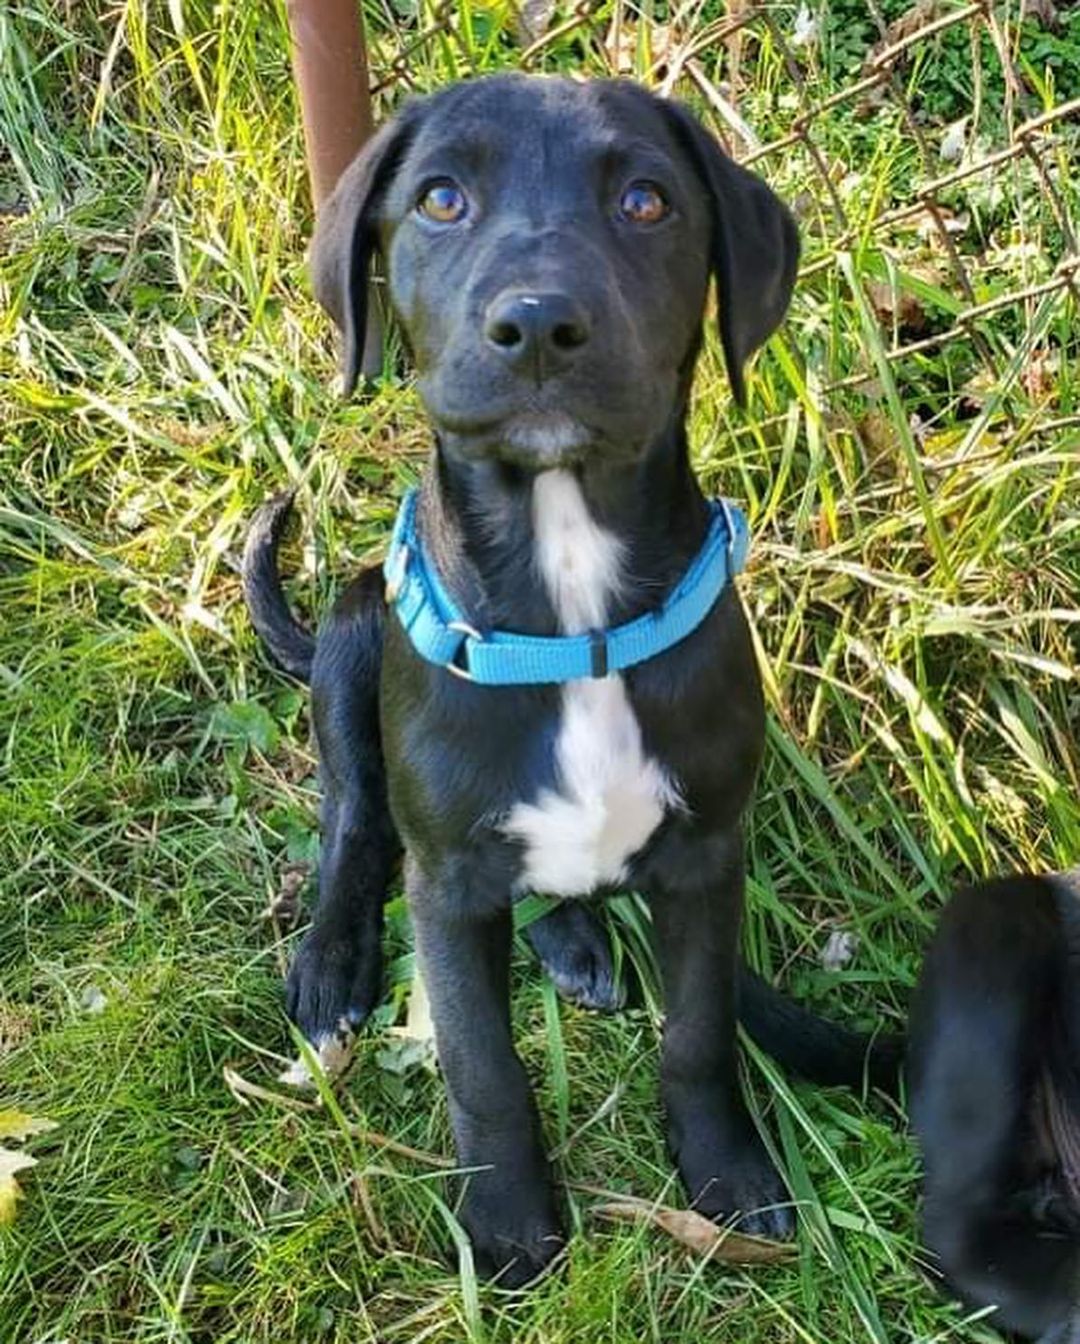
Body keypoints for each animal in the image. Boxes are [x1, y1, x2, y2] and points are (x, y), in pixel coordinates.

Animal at [248, 76, 795, 1279]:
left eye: (647, 201)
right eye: (441, 198)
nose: (539, 324)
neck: (570, 606)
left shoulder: (705, 858)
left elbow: (699, 1034)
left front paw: (728, 1172)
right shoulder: (448, 885)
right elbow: (481, 1064)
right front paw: (503, 1217)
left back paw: (575, 940)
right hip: (356, 629)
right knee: (354, 821)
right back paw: (332, 966)